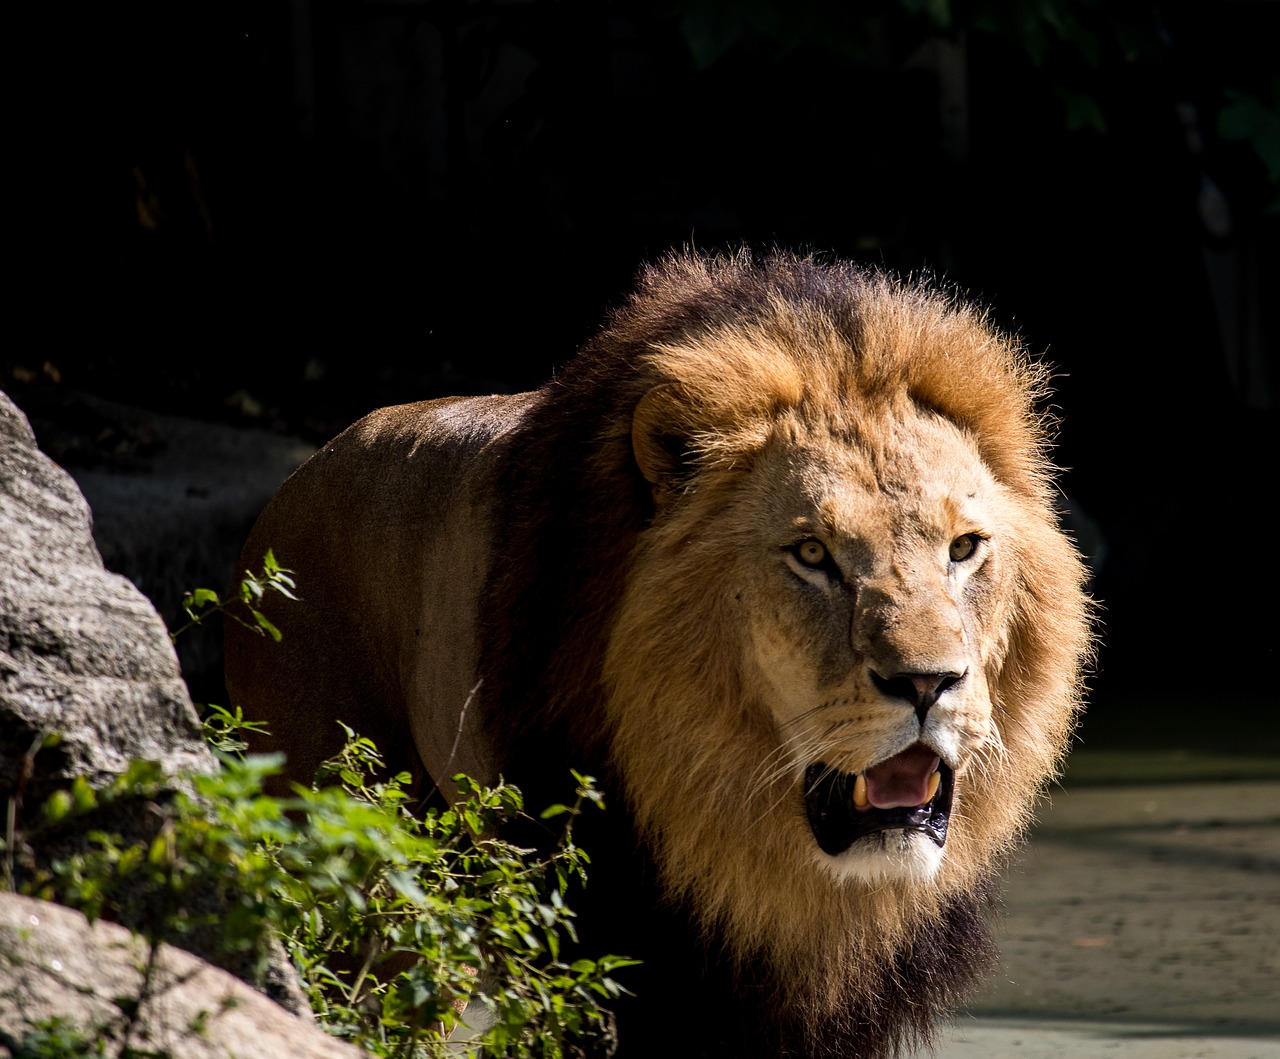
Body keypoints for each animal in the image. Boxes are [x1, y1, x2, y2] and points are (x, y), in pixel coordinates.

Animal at [225, 250, 1095, 1059]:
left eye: (964, 548)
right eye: (812, 554)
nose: (927, 682)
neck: (788, 880)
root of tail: (302, 471)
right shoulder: (614, 961)